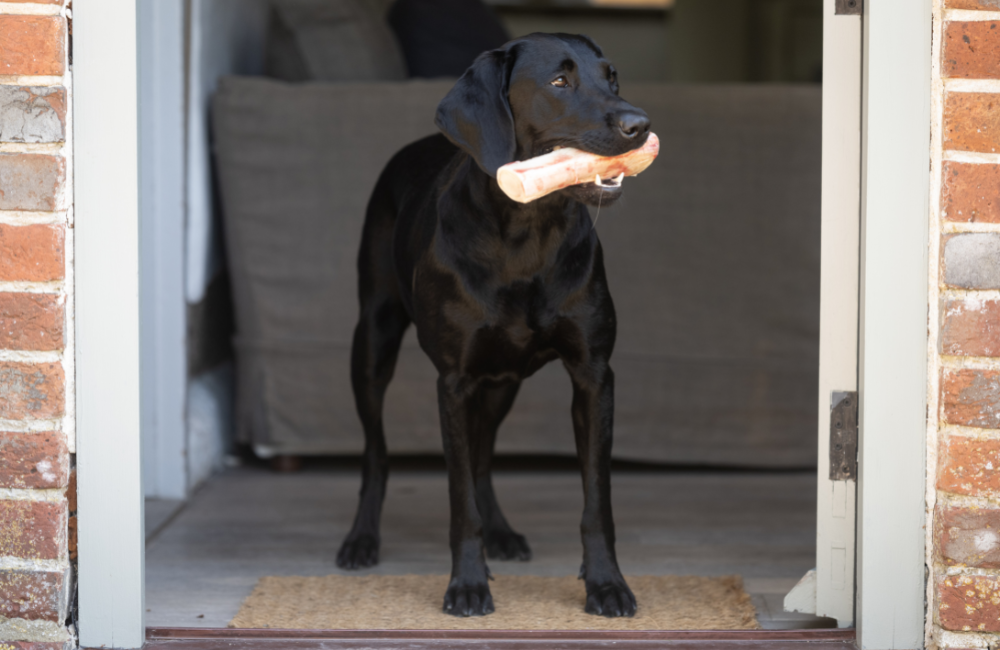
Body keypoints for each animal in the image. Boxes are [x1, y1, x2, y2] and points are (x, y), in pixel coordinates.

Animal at [336, 31, 648, 616]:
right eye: (559, 81)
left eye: (613, 77)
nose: (639, 124)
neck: (527, 231)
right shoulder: (454, 382)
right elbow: (460, 501)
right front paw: (467, 585)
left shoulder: (594, 376)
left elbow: (596, 500)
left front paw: (606, 583)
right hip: (372, 341)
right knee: (376, 453)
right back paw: (361, 538)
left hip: (504, 381)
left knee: (482, 460)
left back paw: (502, 532)